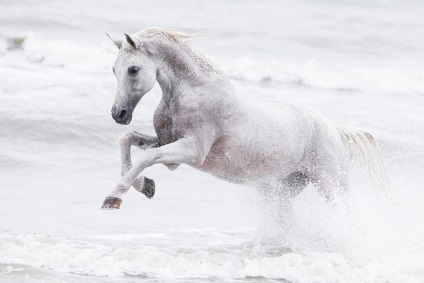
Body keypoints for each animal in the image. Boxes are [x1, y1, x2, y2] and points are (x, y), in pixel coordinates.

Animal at [102, 28, 388, 211]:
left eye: (133, 69)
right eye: (114, 69)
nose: (119, 114)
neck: (191, 92)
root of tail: (334, 130)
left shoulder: (192, 151)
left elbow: (146, 157)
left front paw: (114, 196)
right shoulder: (166, 144)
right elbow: (127, 140)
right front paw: (145, 186)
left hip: (331, 185)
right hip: (284, 189)